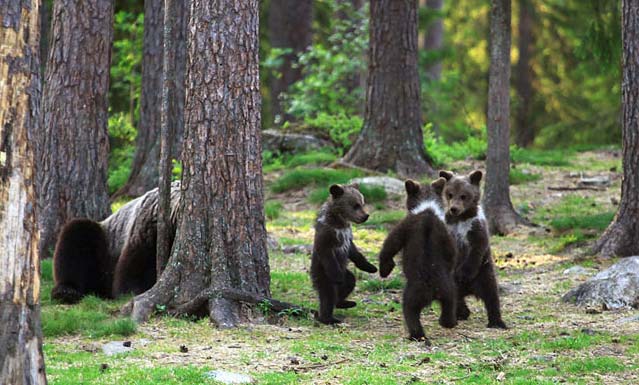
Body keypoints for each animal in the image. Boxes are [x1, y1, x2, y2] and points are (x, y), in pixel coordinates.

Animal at [51, 181, 181, 304]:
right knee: (77, 236)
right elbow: (137, 266)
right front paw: (131, 292)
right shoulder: (149, 227)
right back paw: (66, 291)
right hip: (105, 245)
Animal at [312, 183, 378, 324]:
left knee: (349, 282)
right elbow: (327, 253)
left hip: (345, 273)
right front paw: (338, 277)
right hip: (323, 274)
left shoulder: (347, 236)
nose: (366, 216)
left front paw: (371, 267)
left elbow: (354, 252)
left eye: (362, 203)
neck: (340, 222)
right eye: (355, 205)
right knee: (328, 294)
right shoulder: (327, 236)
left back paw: (345, 302)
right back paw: (329, 318)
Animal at [378, 178, 458, 340]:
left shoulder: (404, 226)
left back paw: (415, 335)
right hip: (448, 288)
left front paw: (384, 268)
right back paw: (447, 322)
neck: (427, 208)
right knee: (450, 303)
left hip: (413, 292)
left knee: (410, 311)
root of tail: (432, 289)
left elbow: (390, 244)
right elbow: (452, 253)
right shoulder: (446, 235)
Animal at [442, 170, 508, 328]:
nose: (454, 209)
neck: (461, 218)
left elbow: (476, 248)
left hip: (483, 272)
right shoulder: (450, 228)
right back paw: (461, 313)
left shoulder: (476, 227)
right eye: (450, 194)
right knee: (454, 297)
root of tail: (470, 290)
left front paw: (463, 273)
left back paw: (496, 321)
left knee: (491, 295)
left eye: (463, 195)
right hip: (451, 282)